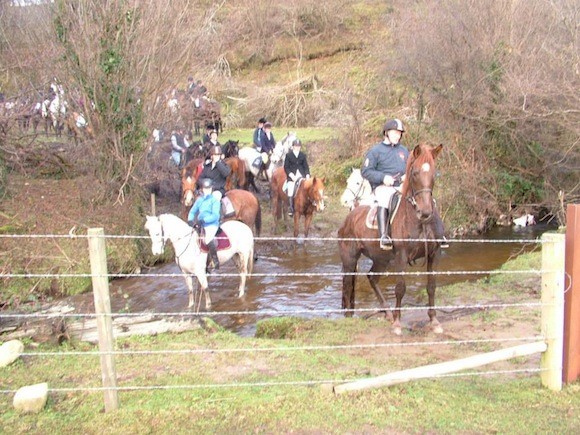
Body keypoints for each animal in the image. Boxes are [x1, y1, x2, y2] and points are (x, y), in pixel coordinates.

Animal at [340, 145, 444, 336]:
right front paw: (397, 323)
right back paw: (350, 316)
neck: (418, 220)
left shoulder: (434, 254)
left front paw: (434, 321)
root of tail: (349, 216)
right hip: (350, 260)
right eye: (415, 173)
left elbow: (431, 286)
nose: (425, 212)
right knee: (348, 286)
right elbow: (400, 288)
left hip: (381, 259)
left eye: (433, 173)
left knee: (372, 278)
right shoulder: (401, 257)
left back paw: (387, 312)